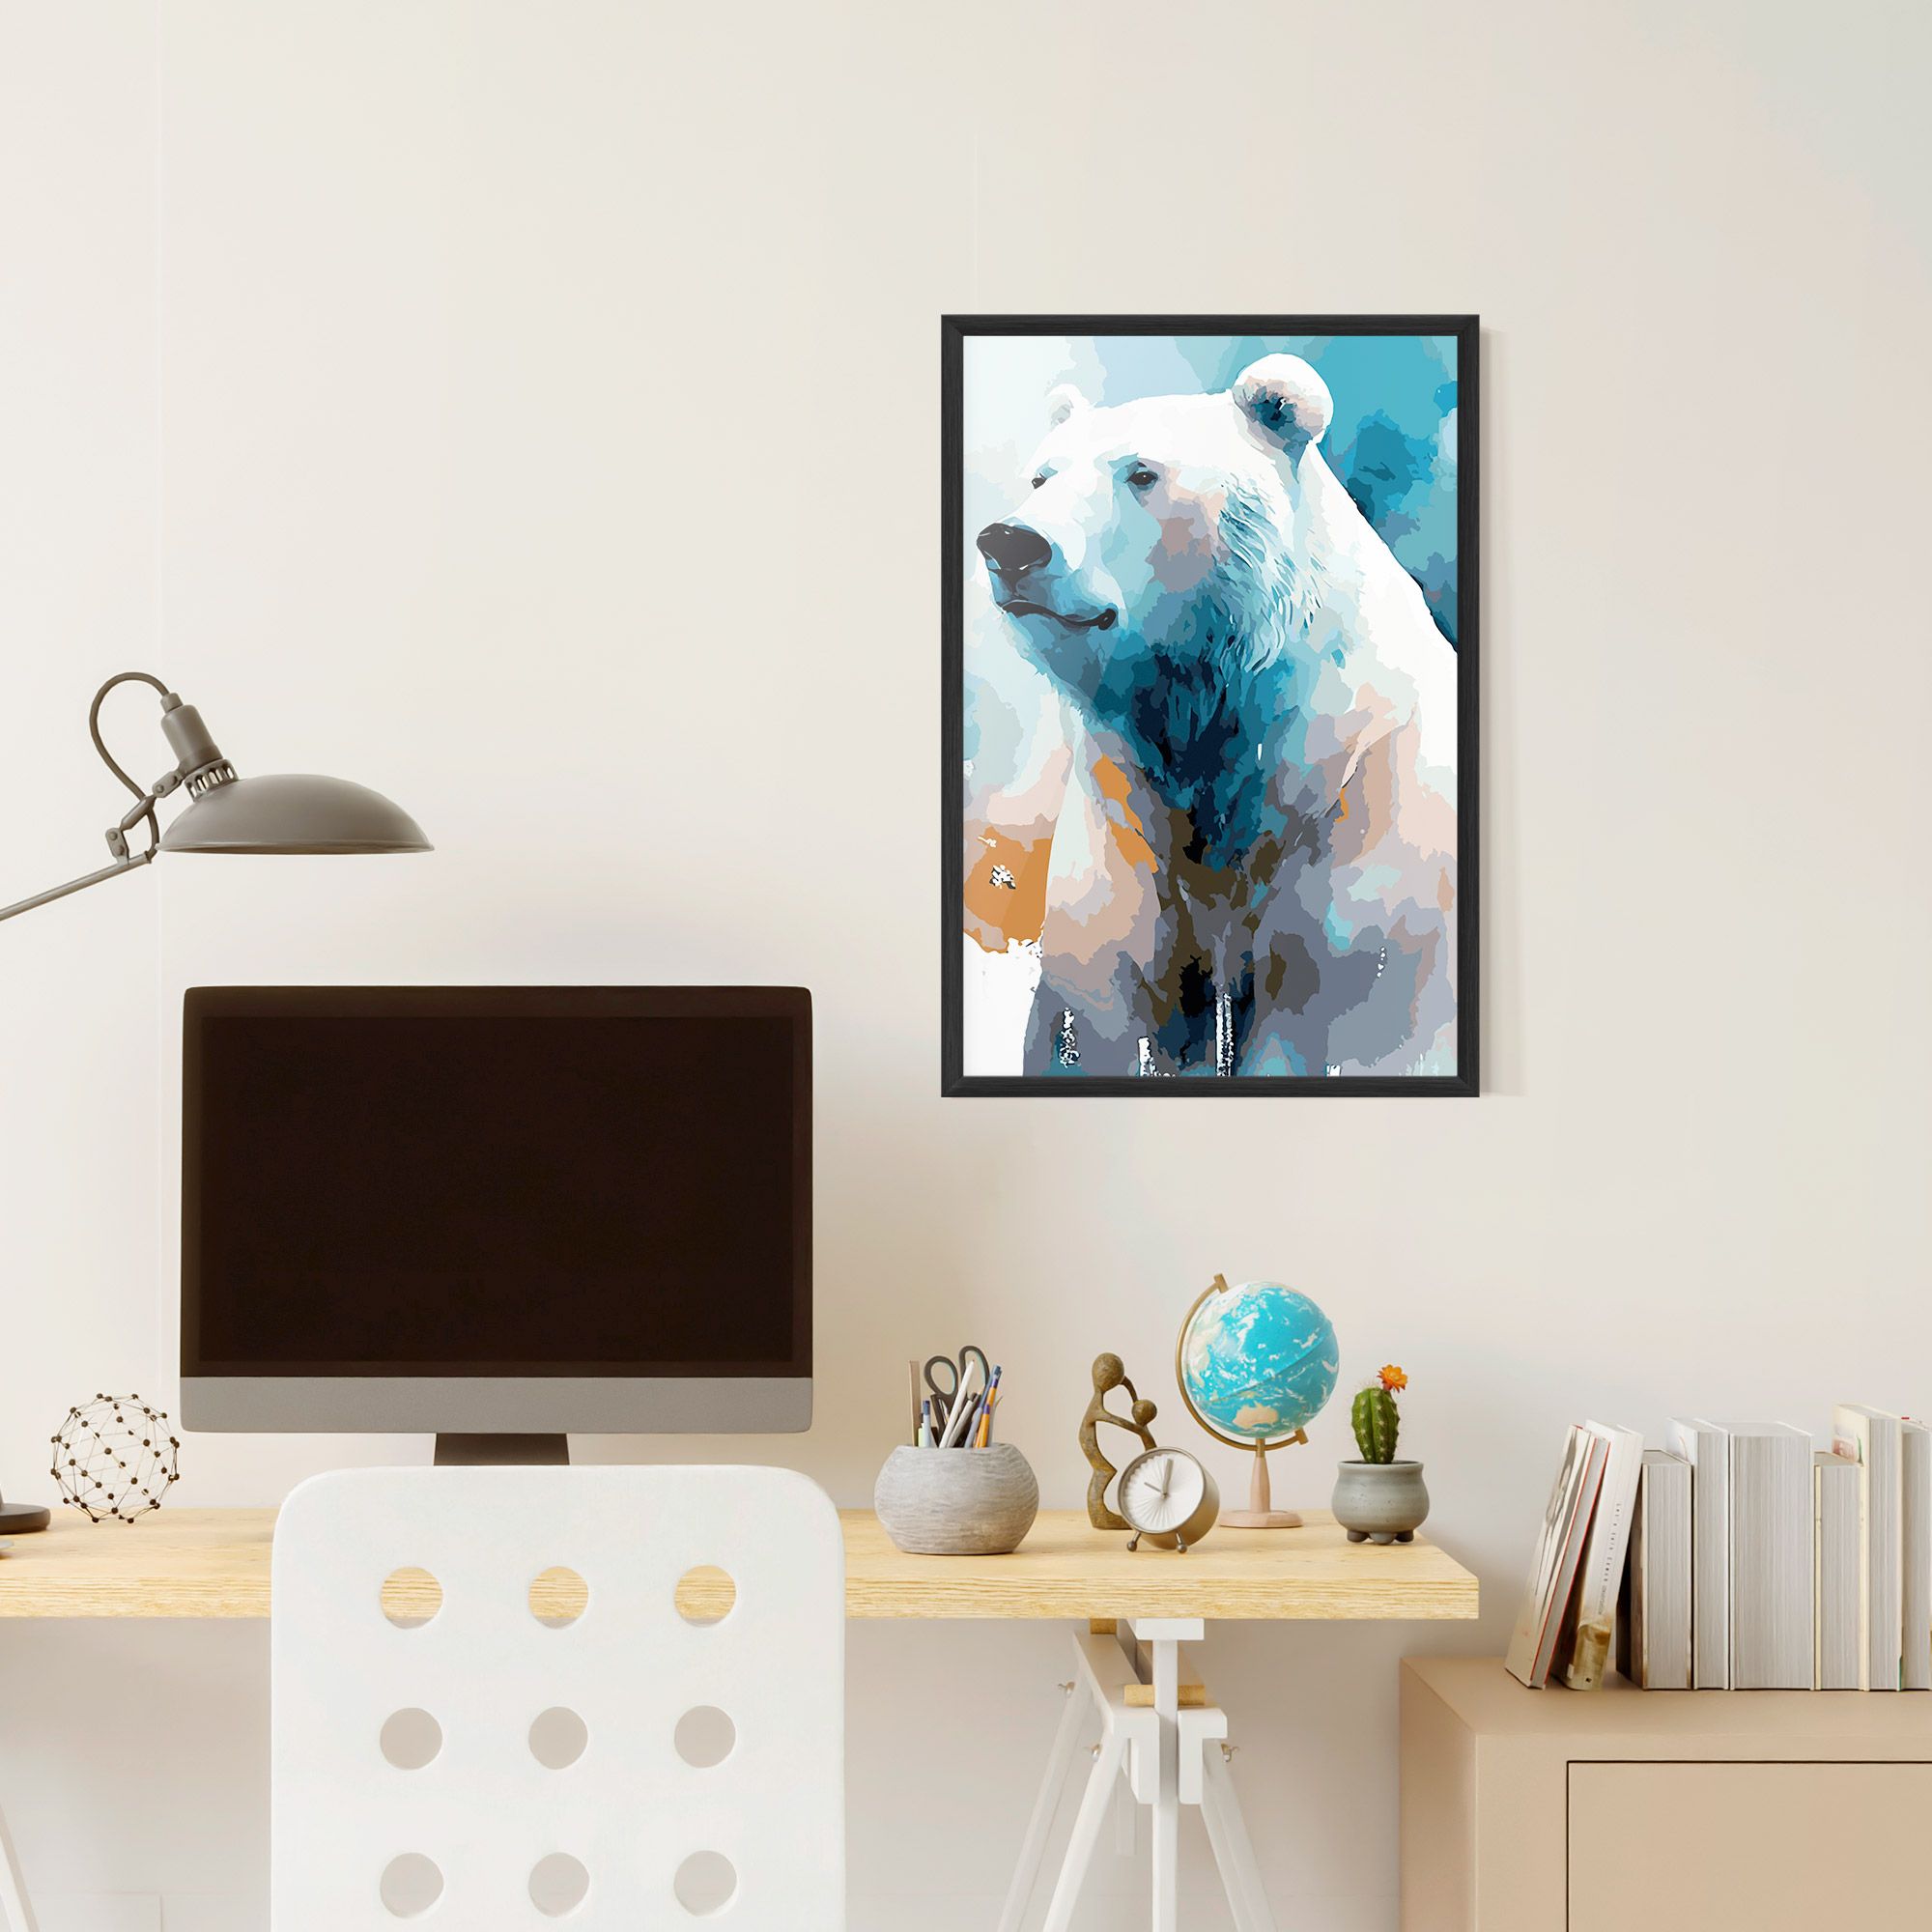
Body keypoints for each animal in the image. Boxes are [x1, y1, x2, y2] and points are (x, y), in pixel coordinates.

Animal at [973, 353, 1458, 1078]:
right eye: (1042, 475)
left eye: (1141, 473)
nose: (1011, 543)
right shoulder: (1125, 834)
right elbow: (1098, 1008)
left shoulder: (1368, 839)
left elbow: (1350, 1016)